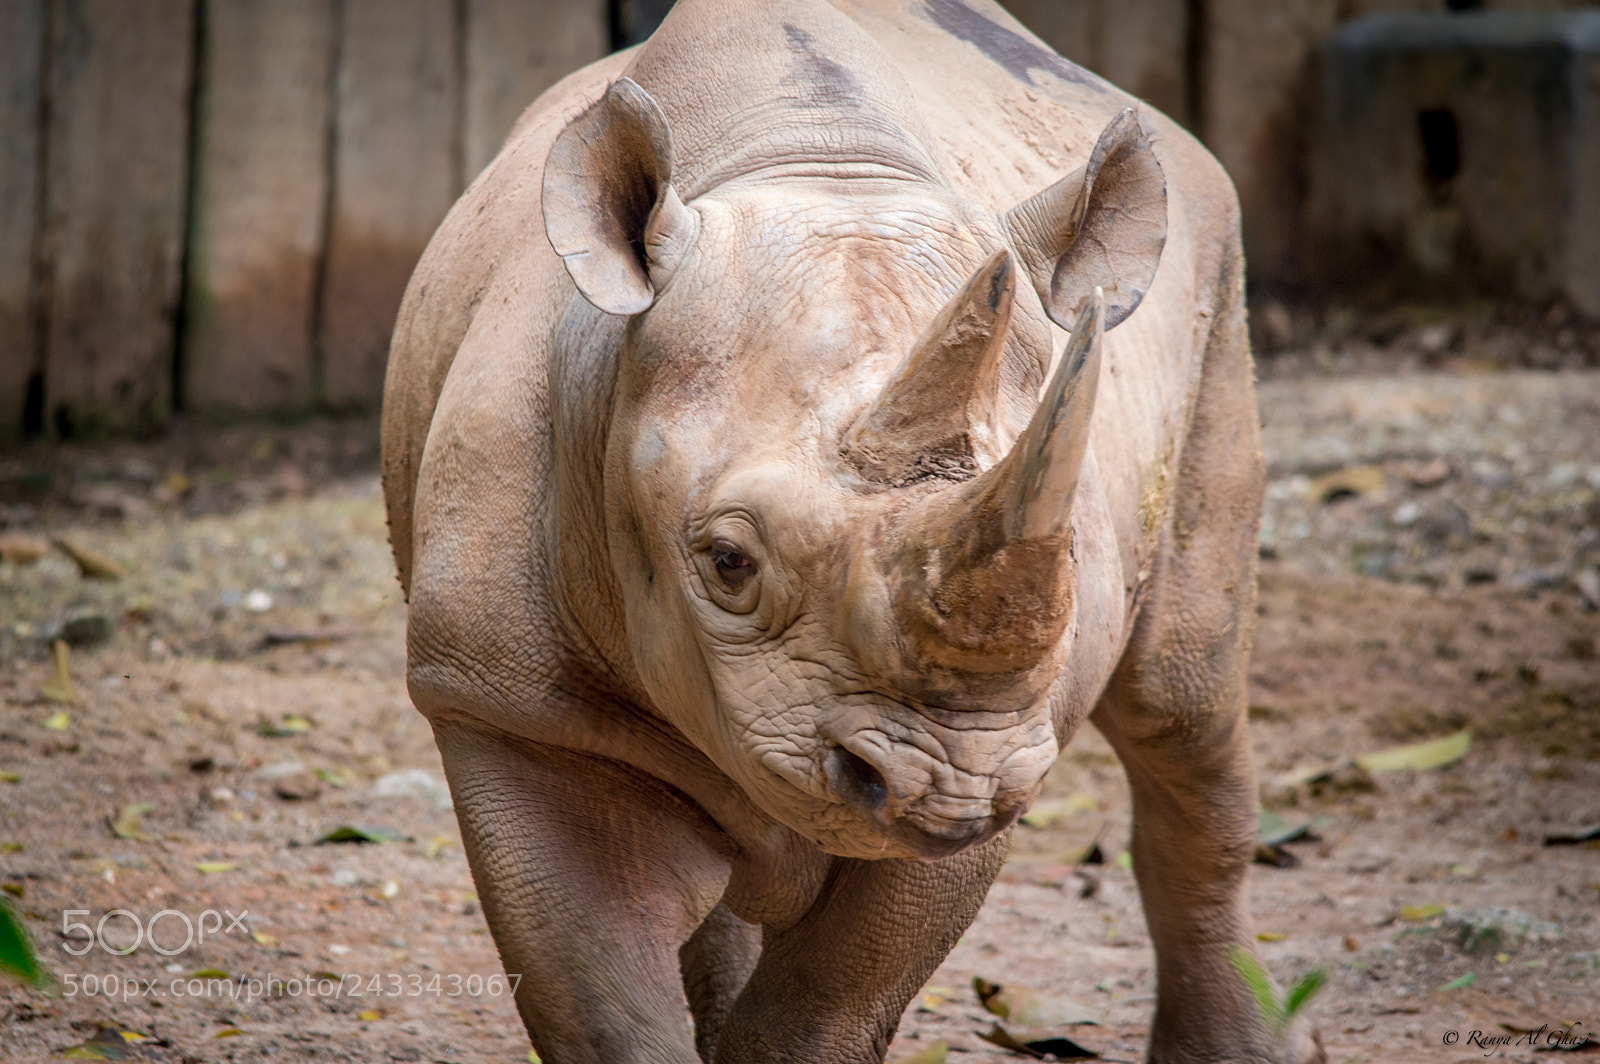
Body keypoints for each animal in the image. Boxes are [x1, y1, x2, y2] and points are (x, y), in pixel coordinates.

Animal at [381, 1, 1321, 1061]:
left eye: (1080, 560)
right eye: (727, 563)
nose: (935, 785)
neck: (808, 162)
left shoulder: (999, 743)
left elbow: (828, 1007)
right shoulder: (501, 704)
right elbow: (604, 1008)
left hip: (1218, 301)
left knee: (1181, 703)